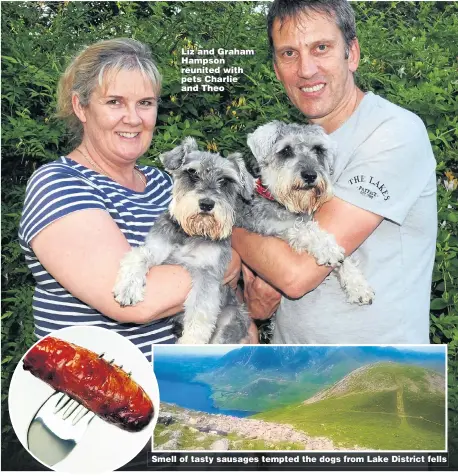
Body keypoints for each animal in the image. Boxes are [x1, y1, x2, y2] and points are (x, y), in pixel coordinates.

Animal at [112, 137, 252, 342]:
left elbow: (199, 315)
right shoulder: (157, 249)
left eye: (225, 180)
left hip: (231, 319)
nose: (207, 204)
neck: (190, 234)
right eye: (192, 173)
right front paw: (128, 287)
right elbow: (139, 255)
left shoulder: (207, 274)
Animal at [238, 120, 374, 304]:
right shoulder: (272, 227)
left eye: (318, 149)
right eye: (286, 150)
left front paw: (358, 286)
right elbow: (304, 230)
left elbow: (343, 259)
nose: (310, 175)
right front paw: (327, 248)